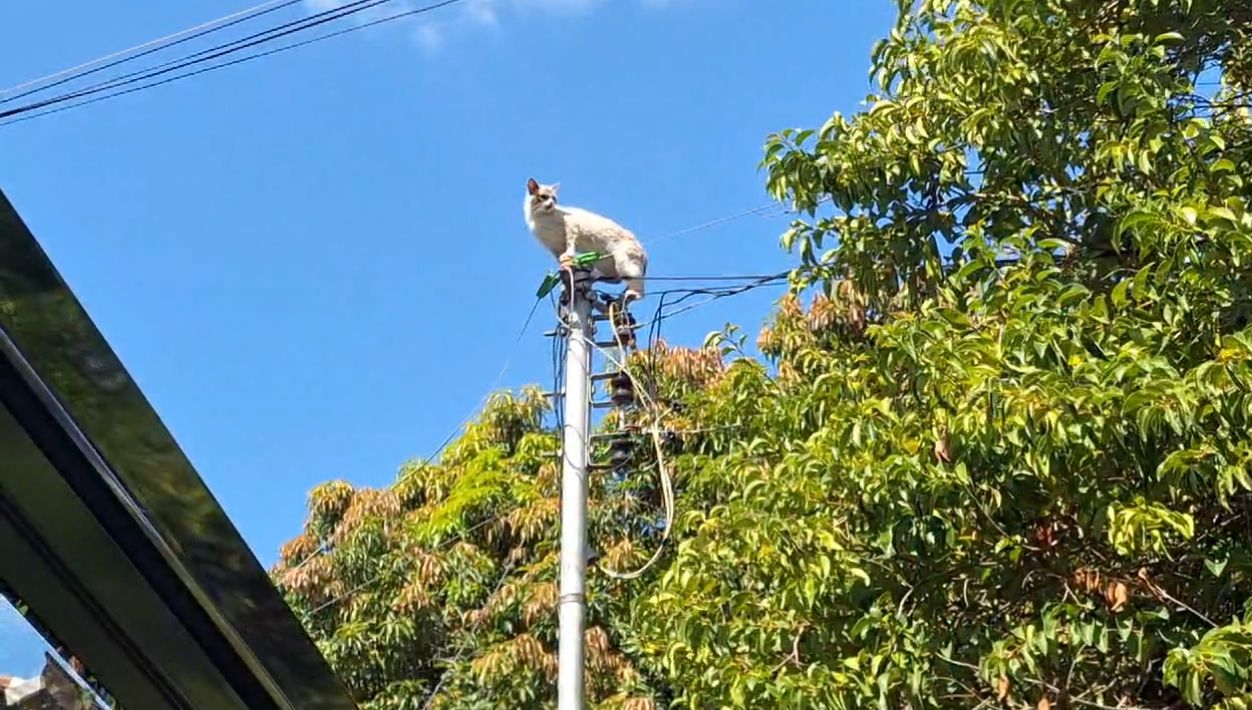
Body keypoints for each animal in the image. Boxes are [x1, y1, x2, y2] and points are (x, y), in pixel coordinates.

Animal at [523, 177, 651, 303]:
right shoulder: (555, 246)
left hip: (624, 264)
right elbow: (560, 259)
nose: (551, 204)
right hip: (608, 265)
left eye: (554, 198)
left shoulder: (571, 225)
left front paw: (568, 258)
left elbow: (570, 244)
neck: (539, 217)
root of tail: (645, 254)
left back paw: (628, 295)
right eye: (544, 197)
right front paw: (564, 270)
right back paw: (595, 280)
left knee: (638, 291)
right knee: (615, 279)